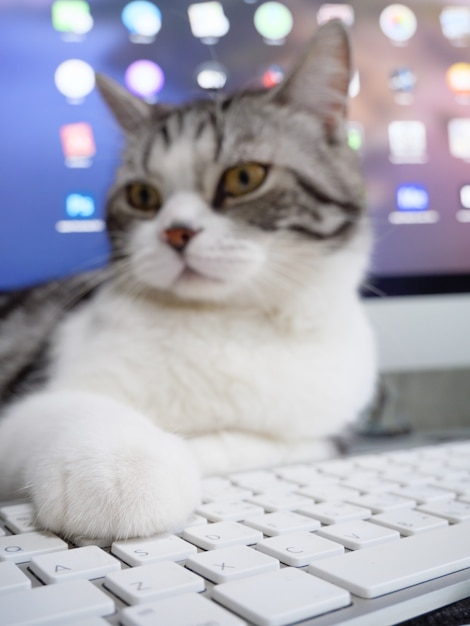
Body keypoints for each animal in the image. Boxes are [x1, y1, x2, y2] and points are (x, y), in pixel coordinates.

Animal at [0, 20, 376, 540]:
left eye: (244, 178)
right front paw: (123, 462)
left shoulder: (317, 433)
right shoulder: (33, 390)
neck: (227, 324)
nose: (175, 232)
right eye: (142, 195)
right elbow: (73, 406)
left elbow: (251, 444)